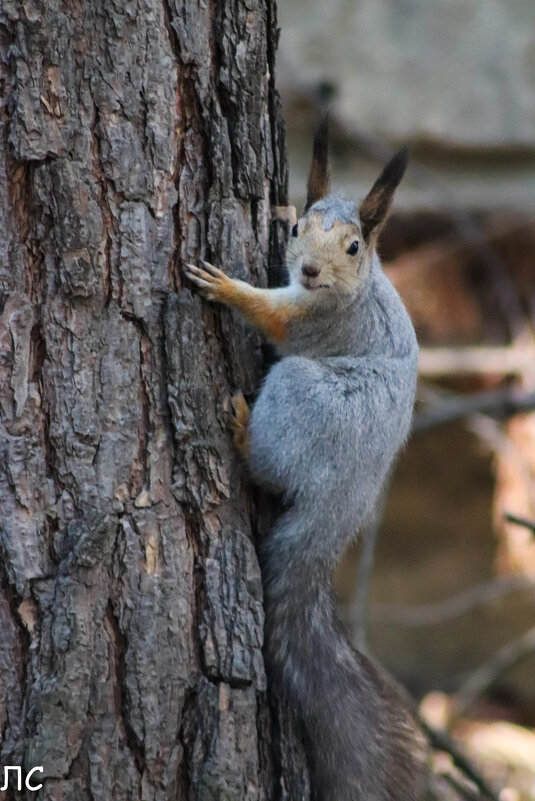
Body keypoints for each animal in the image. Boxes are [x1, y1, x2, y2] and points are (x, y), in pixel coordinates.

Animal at [184, 120, 432, 800]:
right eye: (299, 232)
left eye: (354, 246)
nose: (313, 269)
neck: (358, 289)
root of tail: (342, 506)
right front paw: (277, 208)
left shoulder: (312, 321)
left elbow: (273, 316)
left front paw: (224, 287)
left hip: (303, 396)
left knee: (268, 464)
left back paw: (244, 432)